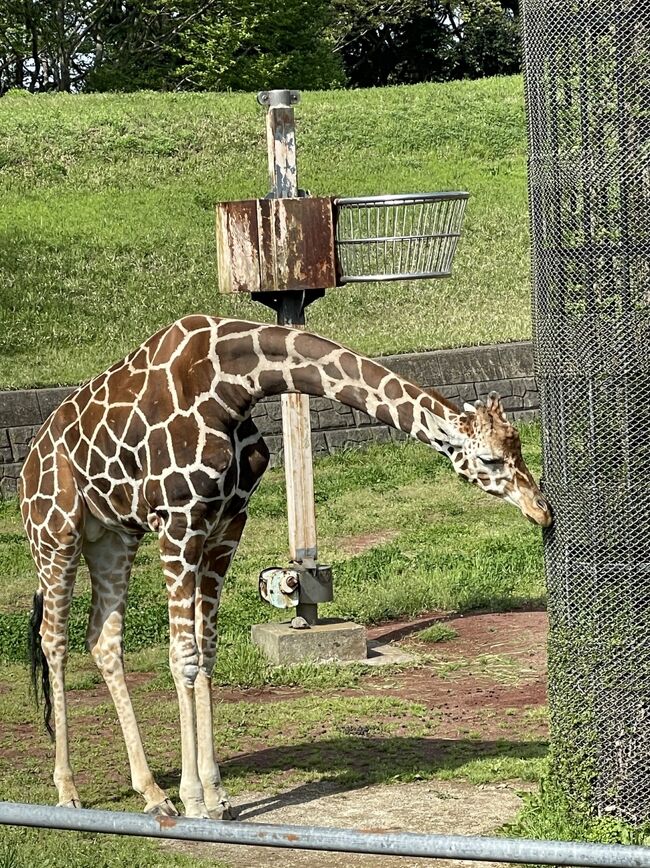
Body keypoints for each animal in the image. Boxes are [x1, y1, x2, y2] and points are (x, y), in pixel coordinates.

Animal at [19, 314, 548, 820]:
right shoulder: (179, 520)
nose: (541, 510)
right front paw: (194, 801)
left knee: (102, 639)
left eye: (519, 447)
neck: (234, 385)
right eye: (489, 458)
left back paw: (151, 793)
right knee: (54, 639)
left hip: (113, 536)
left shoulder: (227, 523)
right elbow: (183, 656)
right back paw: (68, 791)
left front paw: (217, 796)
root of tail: (28, 462)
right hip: (56, 533)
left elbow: (207, 653)